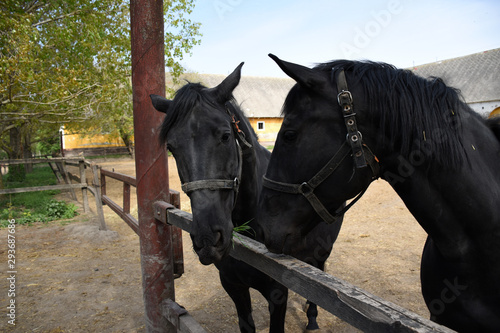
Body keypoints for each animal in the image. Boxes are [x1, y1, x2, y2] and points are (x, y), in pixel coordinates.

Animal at [150, 63, 342, 332]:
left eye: (225, 136)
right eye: (171, 147)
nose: (208, 238)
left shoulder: (277, 293)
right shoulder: (233, 285)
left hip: (321, 252)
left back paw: (312, 318)